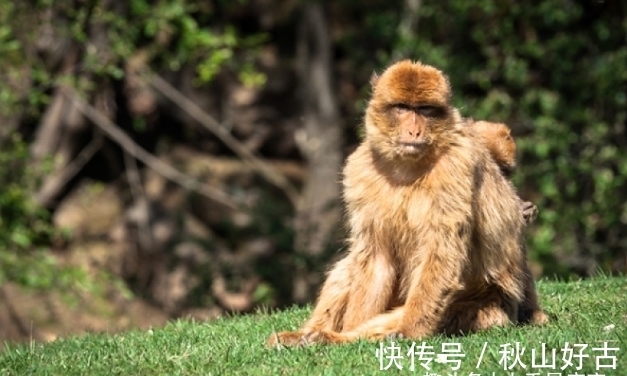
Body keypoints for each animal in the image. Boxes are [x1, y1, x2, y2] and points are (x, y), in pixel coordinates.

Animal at [268, 59, 548, 346]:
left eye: (424, 110)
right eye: (403, 108)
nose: (414, 130)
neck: (407, 166)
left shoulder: (456, 165)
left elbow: (442, 252)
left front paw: (405, 332)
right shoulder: (360, 168)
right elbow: (376, 256)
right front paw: (347, 329)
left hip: (489, 305)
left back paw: (336, 338)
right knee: (350, 265)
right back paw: (308, 335)